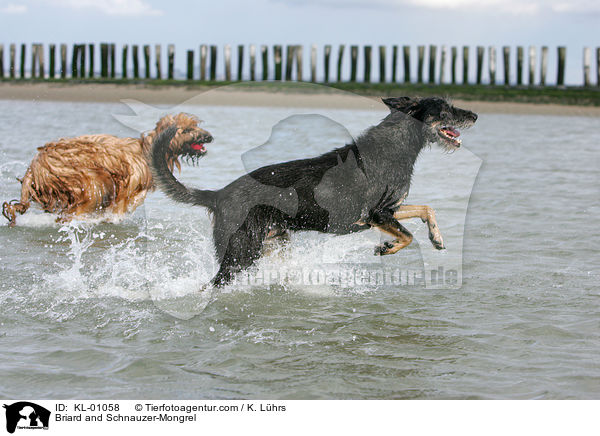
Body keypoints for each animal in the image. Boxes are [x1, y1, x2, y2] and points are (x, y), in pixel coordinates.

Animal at [1, 112, 213, 225]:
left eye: (195, 125)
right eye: (187, 130)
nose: (209, 137)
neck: (145, 150)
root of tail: (34, 166)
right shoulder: (126, 190)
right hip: (89, 180)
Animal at [151, 96, 478, 286]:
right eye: (446, 109)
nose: (474, 115)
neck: (399, 143)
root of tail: (218, 194)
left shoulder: (391, 210)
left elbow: (426, 209)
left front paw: (436, 237)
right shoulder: (377, 214)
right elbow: (407, 236)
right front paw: (387, 247)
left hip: (272, 243)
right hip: (240, 254)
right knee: (212, 284)